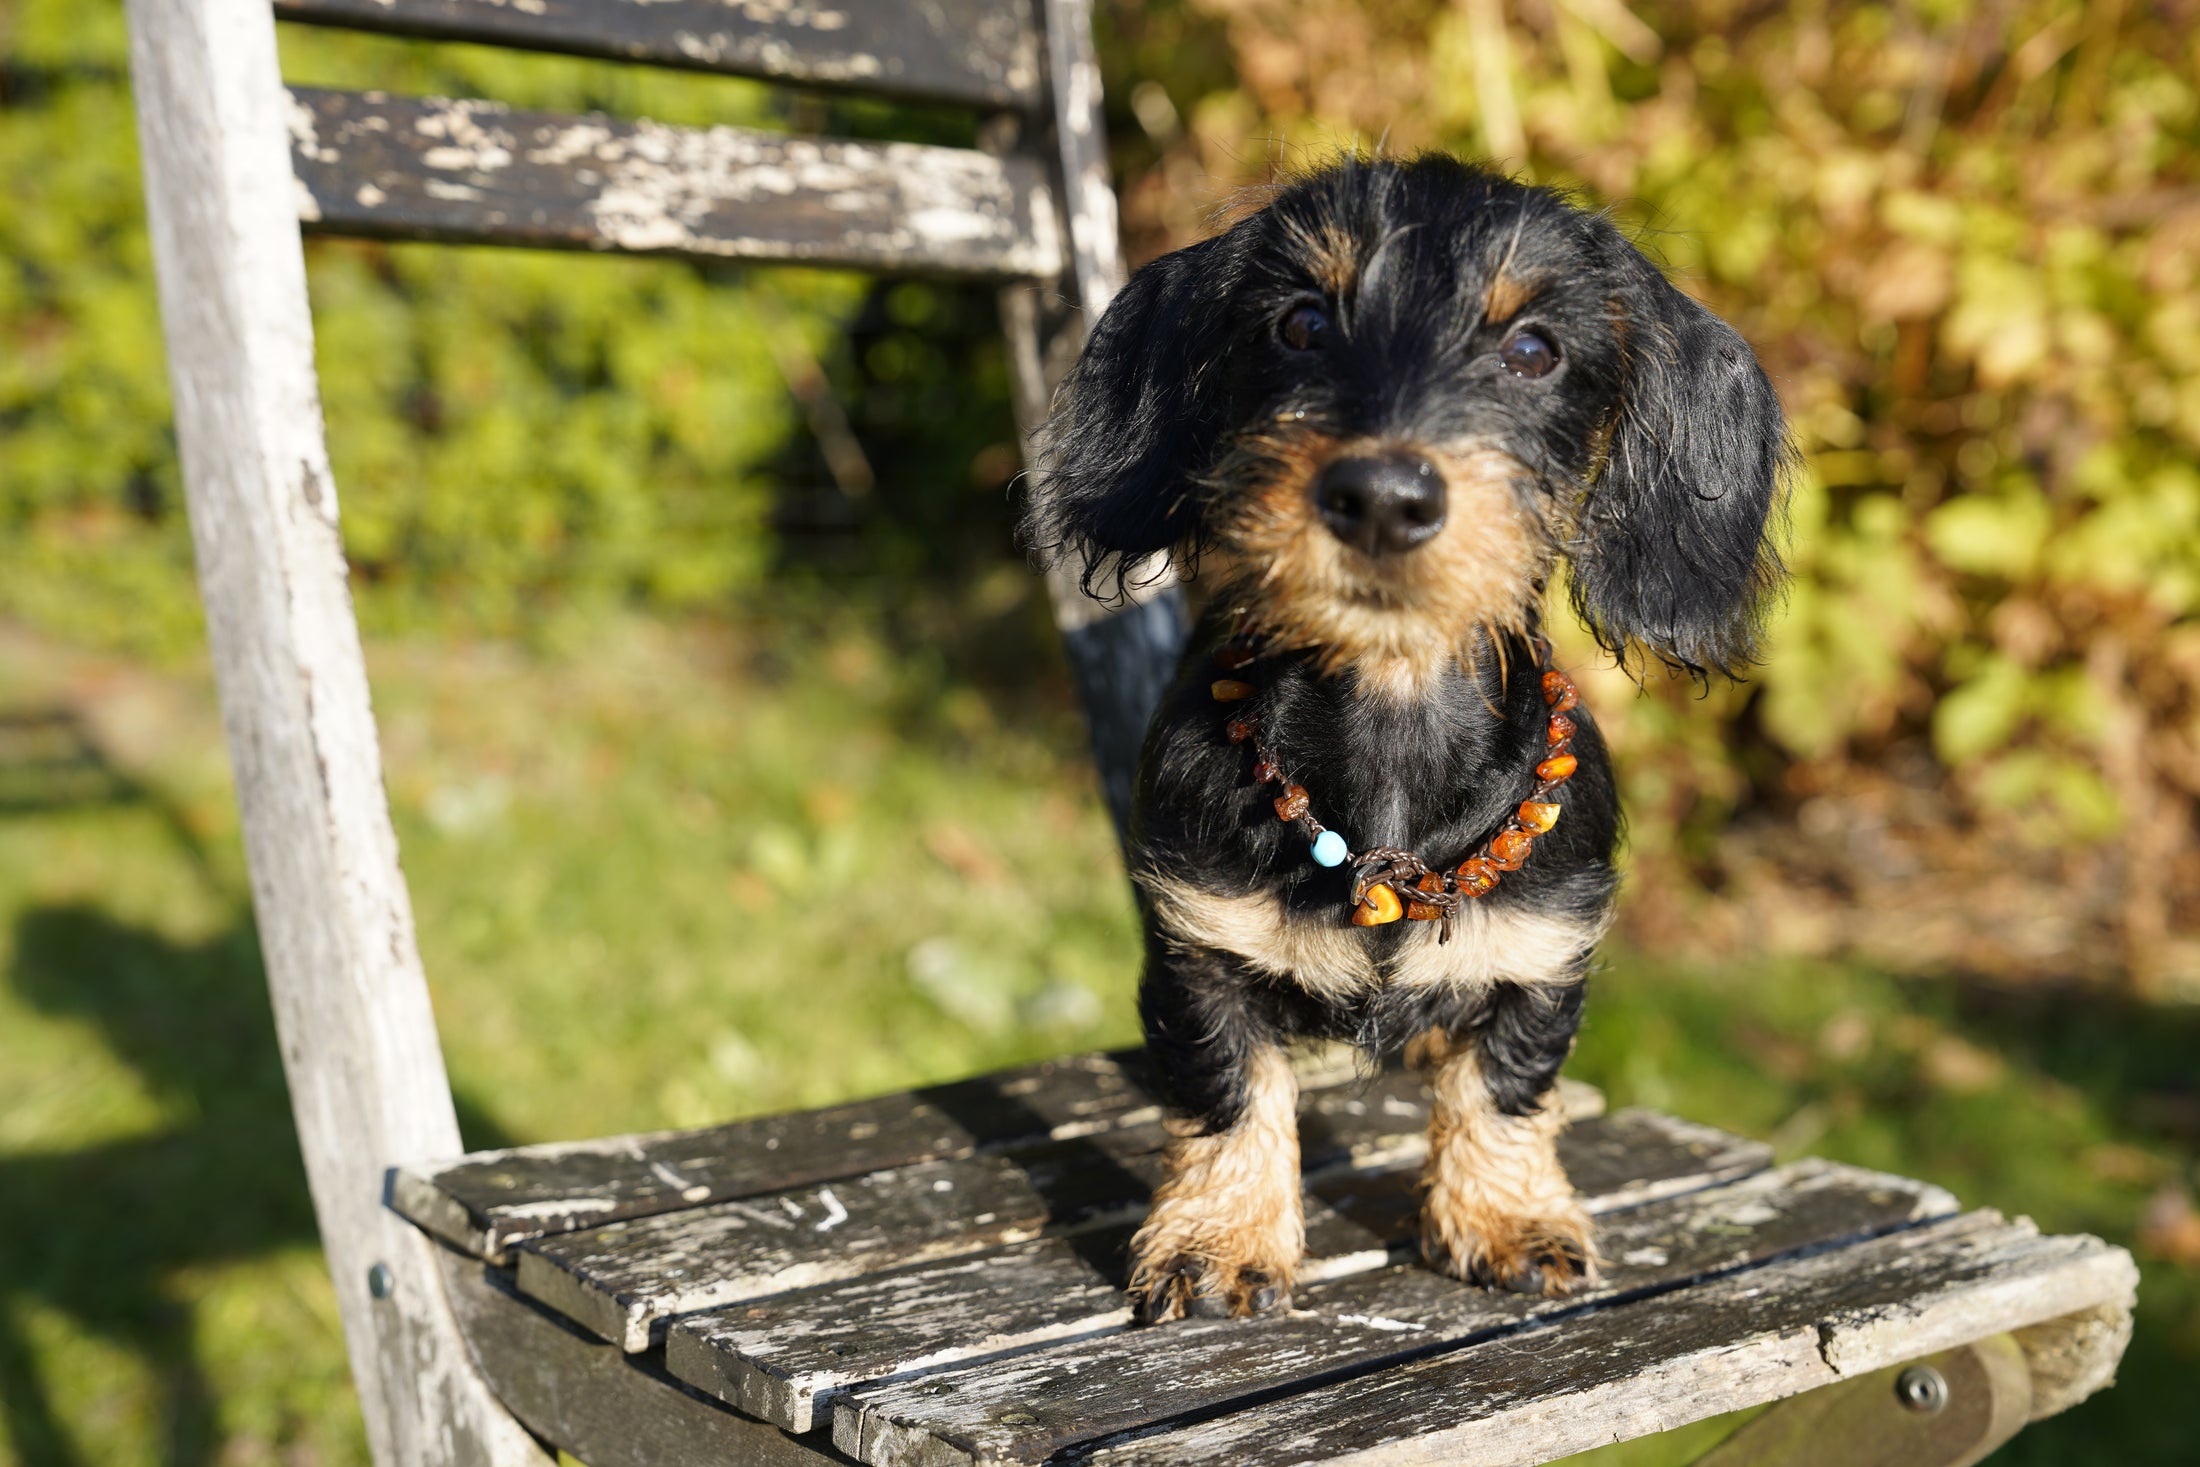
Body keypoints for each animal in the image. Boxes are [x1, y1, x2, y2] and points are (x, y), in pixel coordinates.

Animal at [1016, 155, 1786, 1328]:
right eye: (1298, 324)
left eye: (1532, 350)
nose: (1381, 496)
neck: (1389, 721)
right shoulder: (1199, 949)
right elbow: (1230, 1091)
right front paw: (1219, 1239)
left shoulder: (1541, 952)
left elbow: (1501, 1087)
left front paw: (1505, 1219)